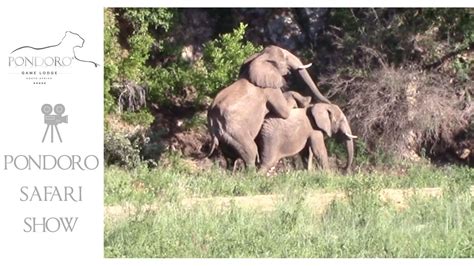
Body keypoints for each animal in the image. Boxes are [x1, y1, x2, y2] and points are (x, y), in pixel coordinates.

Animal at [207, 44, 356, 172]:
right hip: (235, 130)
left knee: (230, 159)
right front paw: (305, 101)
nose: (343, 168)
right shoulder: (269, 89)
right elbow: (285, 112)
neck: (259, 58)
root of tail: (211, 122)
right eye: (285, 58)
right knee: (251, 151)